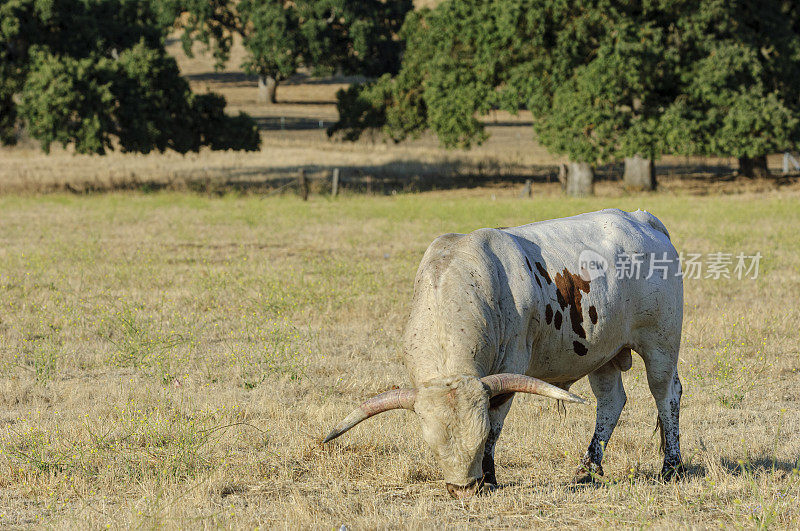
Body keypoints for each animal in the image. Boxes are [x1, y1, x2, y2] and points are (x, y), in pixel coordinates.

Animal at [322, 209, 684, 498]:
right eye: (432, 444)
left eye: (479, 437)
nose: (463, 489)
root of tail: (640, 219)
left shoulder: (511, 365)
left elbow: (497, 424)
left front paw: (490, 478)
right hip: (602, 351)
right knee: (610, 402)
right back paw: (588, 470)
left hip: (661, 343)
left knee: (666, 394)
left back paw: (672, 467)